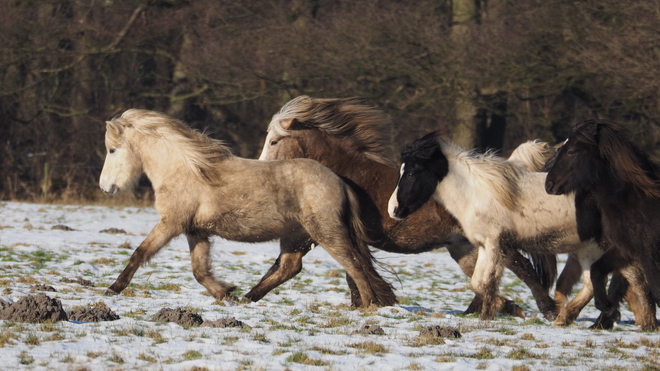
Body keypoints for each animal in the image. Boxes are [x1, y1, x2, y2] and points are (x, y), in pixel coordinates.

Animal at [100, 108, 394, 308]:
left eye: (112, 150)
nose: (105, 187)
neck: (187, 170)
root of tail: (340, 182)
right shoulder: (196, 231)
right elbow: (199, 270)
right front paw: (225, 292)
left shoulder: (171, 223)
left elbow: (140, 253)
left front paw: (113, 288)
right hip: (296, 237)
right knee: (290, 267)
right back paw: (248, 296)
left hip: (327, 233)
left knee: (355, 265)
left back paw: (368, 305)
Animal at [260, 96, 564, 320]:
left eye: (274, 141)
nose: (259, 166)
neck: (348, 174)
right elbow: (348, 269)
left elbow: (355, 268)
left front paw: (373, 303)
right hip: (463, 246)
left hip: (493, 240)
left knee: (522, 266)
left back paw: (546, 309)